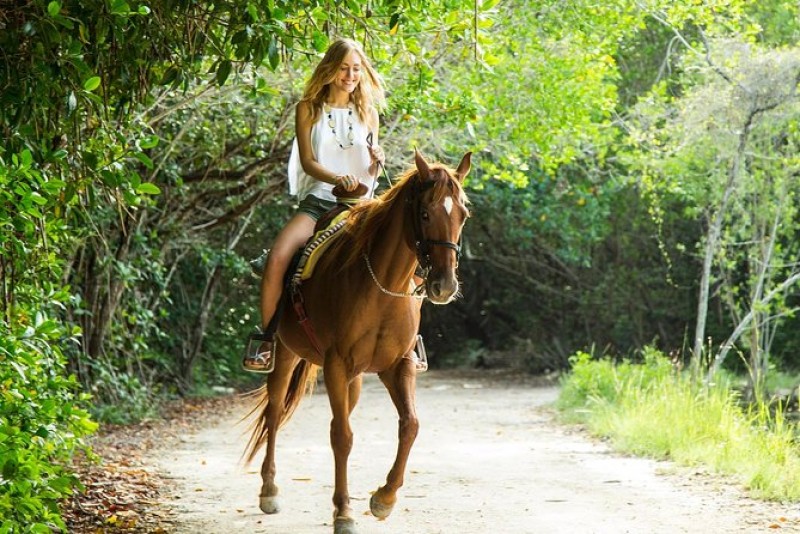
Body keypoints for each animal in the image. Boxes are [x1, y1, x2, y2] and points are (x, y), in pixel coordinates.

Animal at [244, 151, 468, 534]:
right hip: (286, 354)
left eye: (463, 215)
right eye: (425, 213)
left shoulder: (398, 366)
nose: (444, 285)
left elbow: (410, 425)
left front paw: (384, 498)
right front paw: (343, 513)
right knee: (274, 412)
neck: (382, 285)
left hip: (355, 379)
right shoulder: (337, 364)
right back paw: (269, 489)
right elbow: (342, 436)